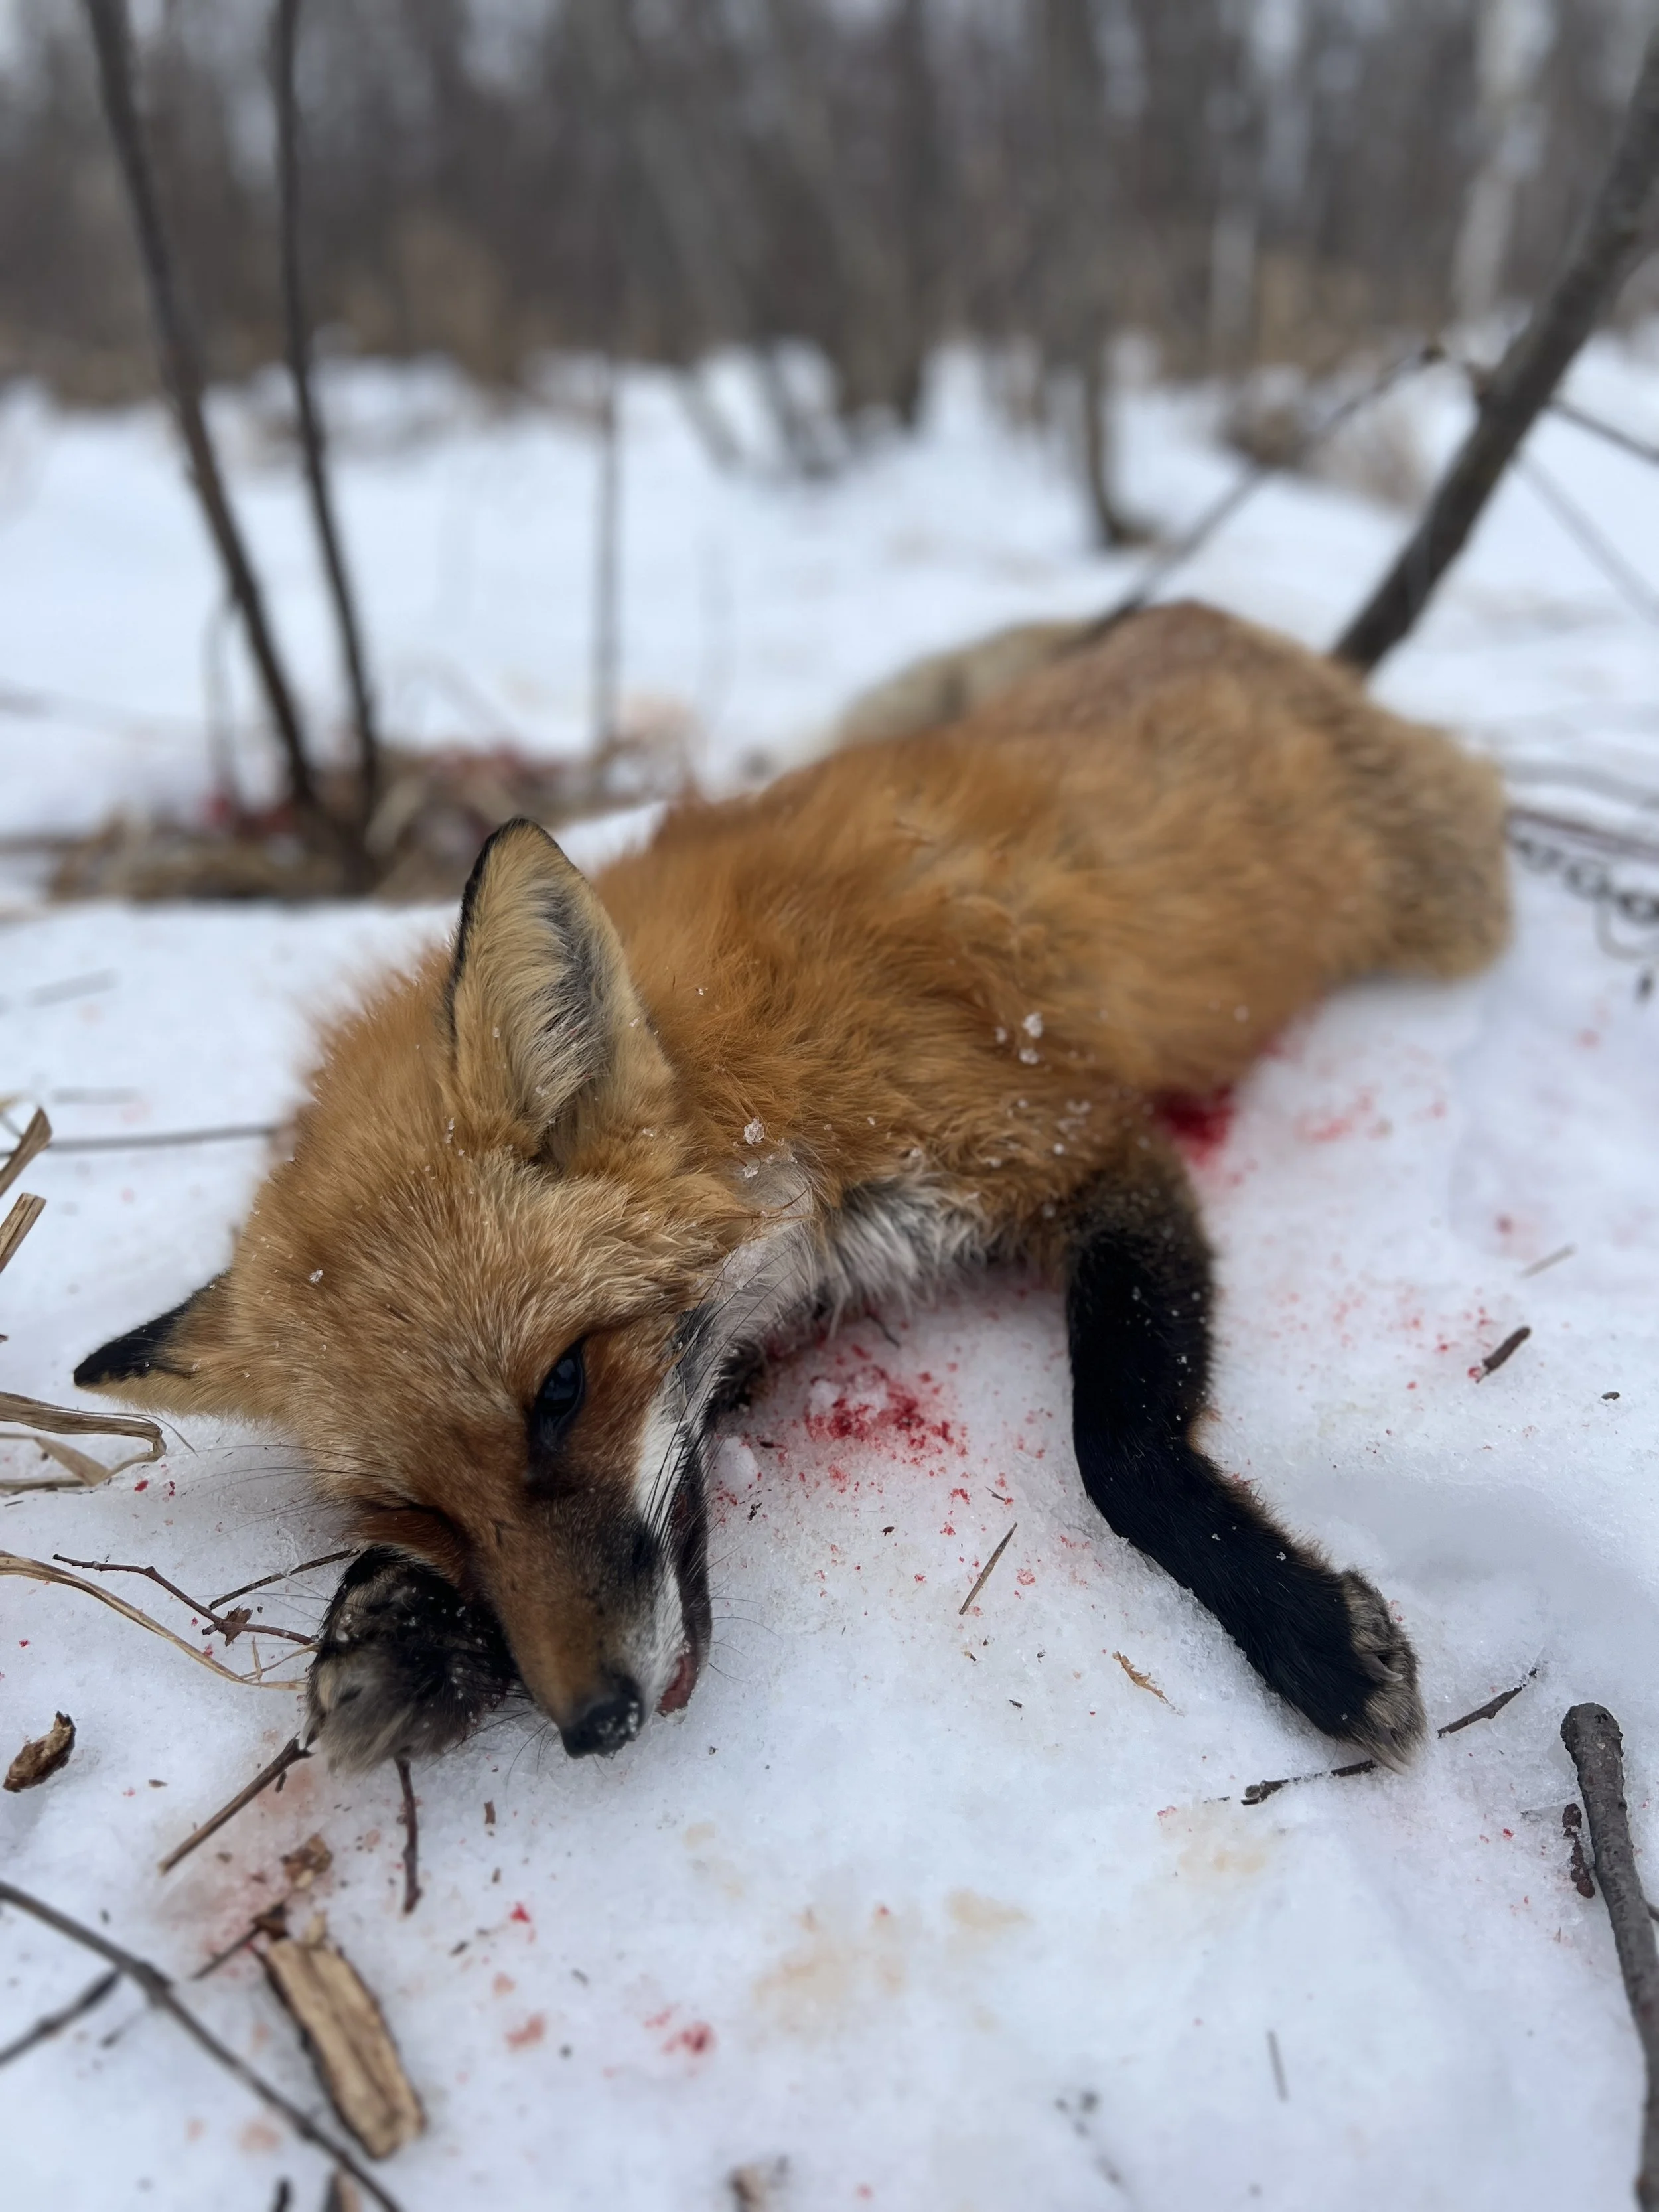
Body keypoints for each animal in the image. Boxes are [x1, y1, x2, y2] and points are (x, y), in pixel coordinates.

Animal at [76, 602, 1509, 1775]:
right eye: (410, 1504)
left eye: (561, 1390)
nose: (592, 1723)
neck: (763, 1081)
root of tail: (1205, 617)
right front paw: (395, 1622)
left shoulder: (1076, 1138)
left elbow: (1121, 1447)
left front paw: (1310, 1634)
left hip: (1455, 905)